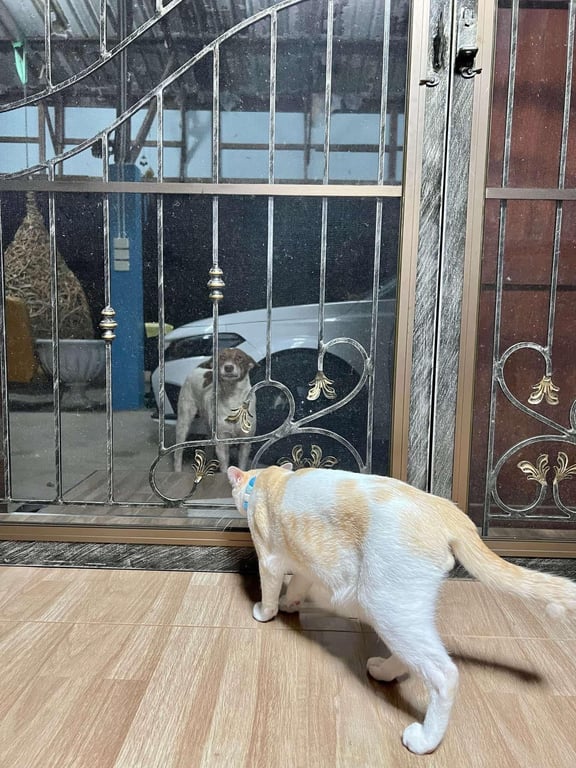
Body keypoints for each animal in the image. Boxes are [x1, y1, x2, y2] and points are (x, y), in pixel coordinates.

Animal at [227, 463, 576, 755]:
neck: (268, 478)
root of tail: (447, 509)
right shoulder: (304, 564)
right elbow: (298, 584)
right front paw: (291, 604)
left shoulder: (269, 560)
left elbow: (269, 591)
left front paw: (265, 612)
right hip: (403, 610)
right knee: (413, 656)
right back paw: (383, 671)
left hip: (386, 605)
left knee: (443, 674)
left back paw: (424, 740)